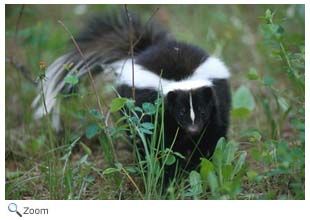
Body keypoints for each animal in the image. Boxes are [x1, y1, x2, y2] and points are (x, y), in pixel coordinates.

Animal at [32, 11, 230, 177]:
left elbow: (212, 134)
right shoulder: (155, 111)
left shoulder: (214, 103)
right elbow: (159, 144)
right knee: (136, 136)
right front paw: (168, 175)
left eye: (202, 111)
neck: (180, 78)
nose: (194, 129)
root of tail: (144, 49)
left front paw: (200, 162)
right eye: (180, 112)